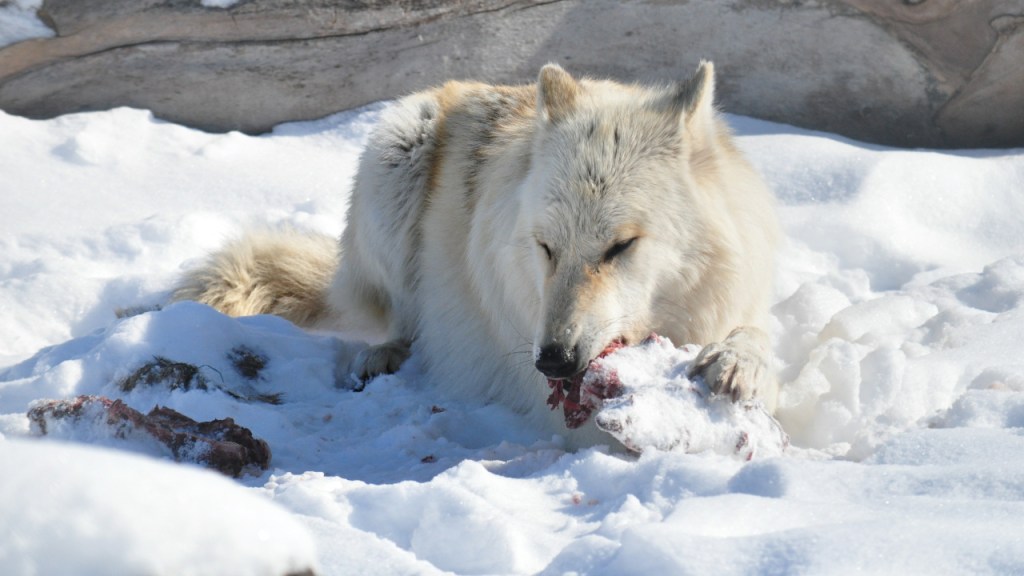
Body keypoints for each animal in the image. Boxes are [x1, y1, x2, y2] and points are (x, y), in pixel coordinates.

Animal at [173, 62, 780, 449]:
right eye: (546, 247)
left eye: (620, 246)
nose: (552, 360)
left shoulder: (743, 301)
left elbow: (756, 338)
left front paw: (736, 363)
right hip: (395, 157)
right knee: (402, 317)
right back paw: (387, 354)